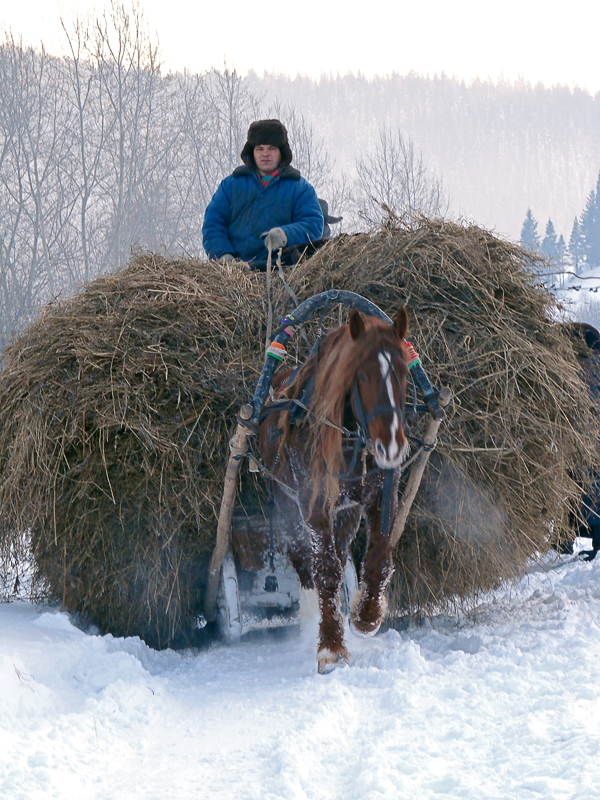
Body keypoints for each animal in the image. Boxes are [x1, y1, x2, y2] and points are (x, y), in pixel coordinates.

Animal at [258, 310, 412, 672]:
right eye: (363, 375)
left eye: (403, 372)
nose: (392, 446)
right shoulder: (314, 505)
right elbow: (324, 570)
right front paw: (330, 645)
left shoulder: (379, 495)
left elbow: (379, 557)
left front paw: (366, 614)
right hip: (287, 504)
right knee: (305, 562)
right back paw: (310, 622)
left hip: (347, 511)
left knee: (339, 555)